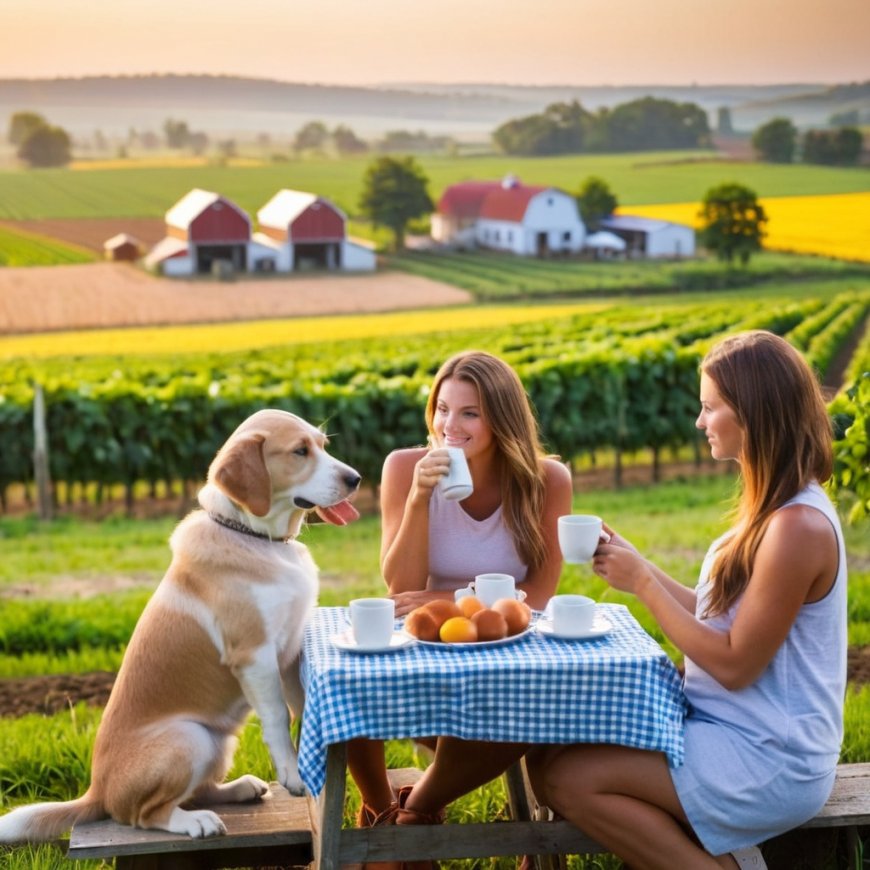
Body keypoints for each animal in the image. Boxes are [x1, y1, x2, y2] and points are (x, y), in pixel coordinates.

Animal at [0, 410, 362, 844]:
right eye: (299, 451)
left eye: (323, 445)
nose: (357, 478)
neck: (257, 537)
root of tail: (97, 791)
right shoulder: (255, 655)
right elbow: (278, 717)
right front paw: (293, 775)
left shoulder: (291, 650)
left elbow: (302, 706)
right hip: (189, 738)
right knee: (144, 814)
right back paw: (196, 822)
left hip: (217, 743)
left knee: (198, 790)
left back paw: (239, 789)